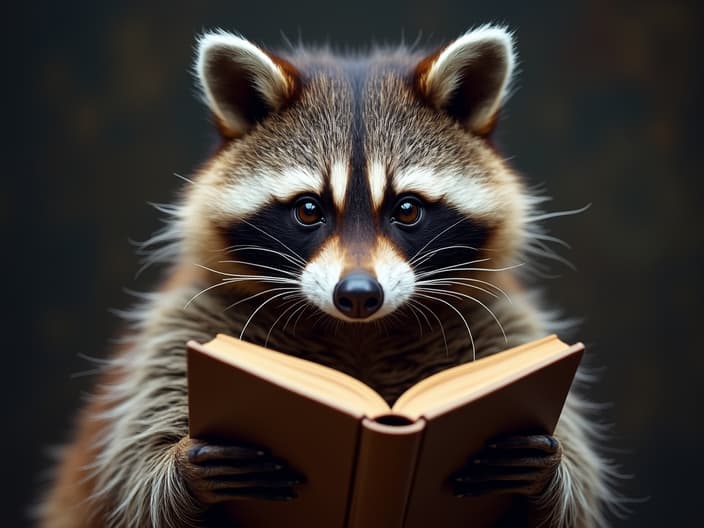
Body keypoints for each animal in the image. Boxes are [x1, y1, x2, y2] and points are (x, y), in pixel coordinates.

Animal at [41, 25, 620, 528]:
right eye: (308, 209)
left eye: (407, 209)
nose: (359, 294)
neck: (359, 334)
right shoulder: (183, 325)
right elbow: (133, 479)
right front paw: (179, 470)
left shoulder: (501, 322)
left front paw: (549, 479)